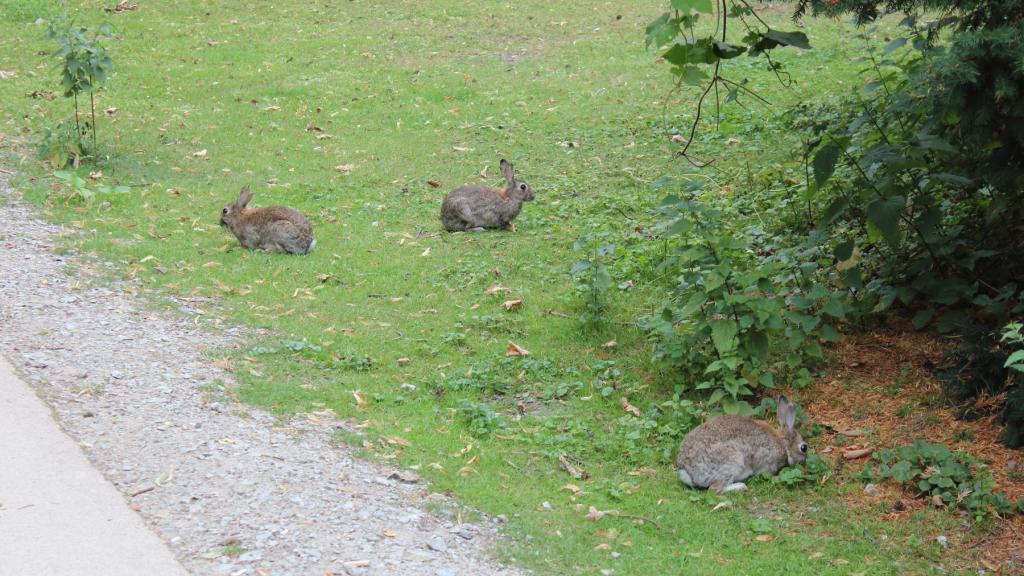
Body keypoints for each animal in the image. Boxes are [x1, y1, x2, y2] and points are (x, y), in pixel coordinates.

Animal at [675, 393, 811, 494]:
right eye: (803, 447)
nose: (804, 462)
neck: (782, 443)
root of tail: (686, 470)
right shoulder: (766, 461)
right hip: (732, 462)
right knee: (714, 489)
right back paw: (741, 486)